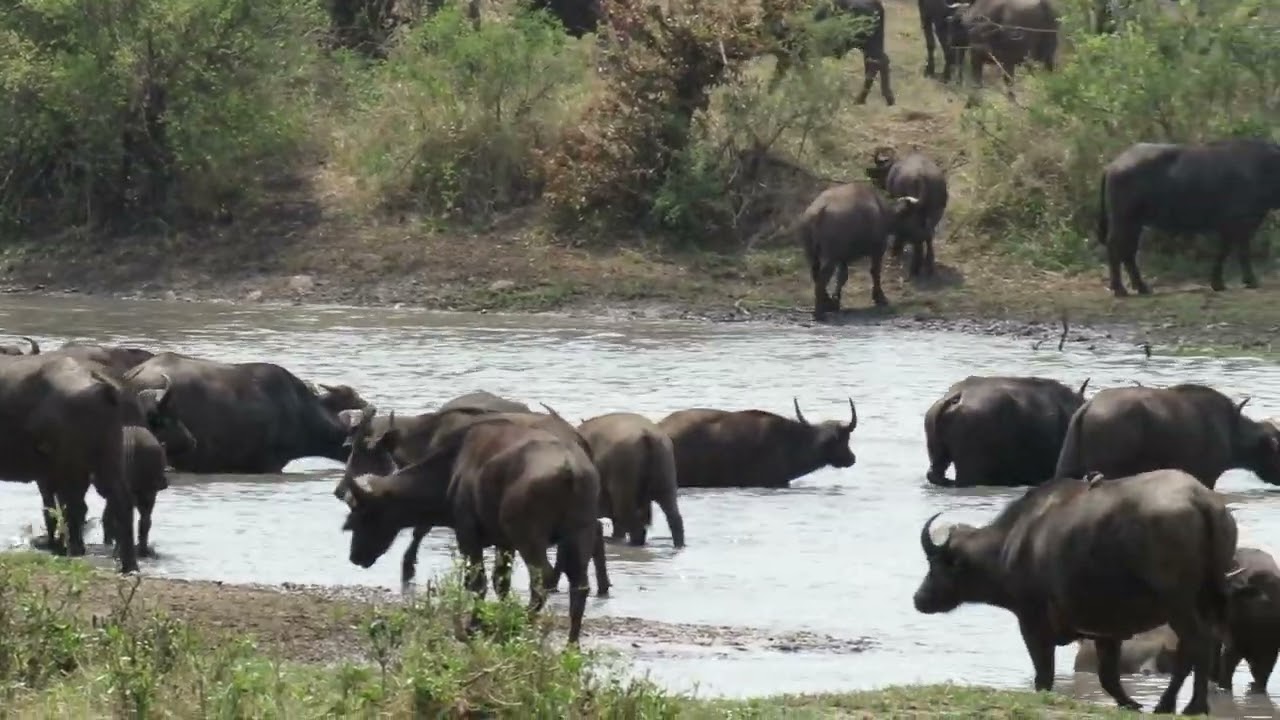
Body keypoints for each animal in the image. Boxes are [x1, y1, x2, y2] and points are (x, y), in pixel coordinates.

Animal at [341, 416, 606, 644]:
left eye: (362, 513)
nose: (355, 556)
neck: (449, 473)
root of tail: (571, 471)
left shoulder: (468, 534)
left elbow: (477, 583)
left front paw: (475, 625)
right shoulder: (504, 542)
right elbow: (501, 582)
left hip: (529, 536)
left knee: (543, 579)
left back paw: (520, 627)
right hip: (579, 532)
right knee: (580, 585)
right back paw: (572, 644)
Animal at [797, 183, 923, 320]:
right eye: (917, 216)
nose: (924, 234)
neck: (882, 211)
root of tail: (819, 211)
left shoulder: (843, 258)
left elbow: (842, 277)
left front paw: (835, 301)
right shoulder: (878, 250)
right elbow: (875, 272)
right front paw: (880, 297)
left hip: (812, 255)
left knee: (815, 274)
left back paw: (826, 303)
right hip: (830, 258)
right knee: (821, 279)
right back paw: (819, 312)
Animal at [864, 147, 949, 278]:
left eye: (879, 170)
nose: (874, 181)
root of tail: (922, 176)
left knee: (917, 239)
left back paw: (913, 267)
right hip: (935, 213)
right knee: (928, 237)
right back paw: (928, 265)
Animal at [915, 469, 1236, 714]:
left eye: (936, 565)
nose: (919, 599)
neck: (1014, 542)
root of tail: (1200, 499)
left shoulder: (1032, 621)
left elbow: (1044, 674)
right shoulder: (1108, 629)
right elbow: (1108, 677)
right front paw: (1130, 703)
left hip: (1178, 605)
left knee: (1197, 643)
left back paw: (1188, 706)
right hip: (1207, 600)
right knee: (1200, 646)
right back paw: (1174, 704)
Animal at [1097, 139, 1280, 297]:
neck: (1264, 167)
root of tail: (1113, 164)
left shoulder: (1228, 226)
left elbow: (1223, 251)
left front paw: (1217, 283)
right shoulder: (1243, 222)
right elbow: (1242, 252)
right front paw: (1250, 280)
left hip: (1135, 223)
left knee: (1128, 251)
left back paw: (1142, 287)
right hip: (1123, 219)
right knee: (1115, 247)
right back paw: (1119, 289)